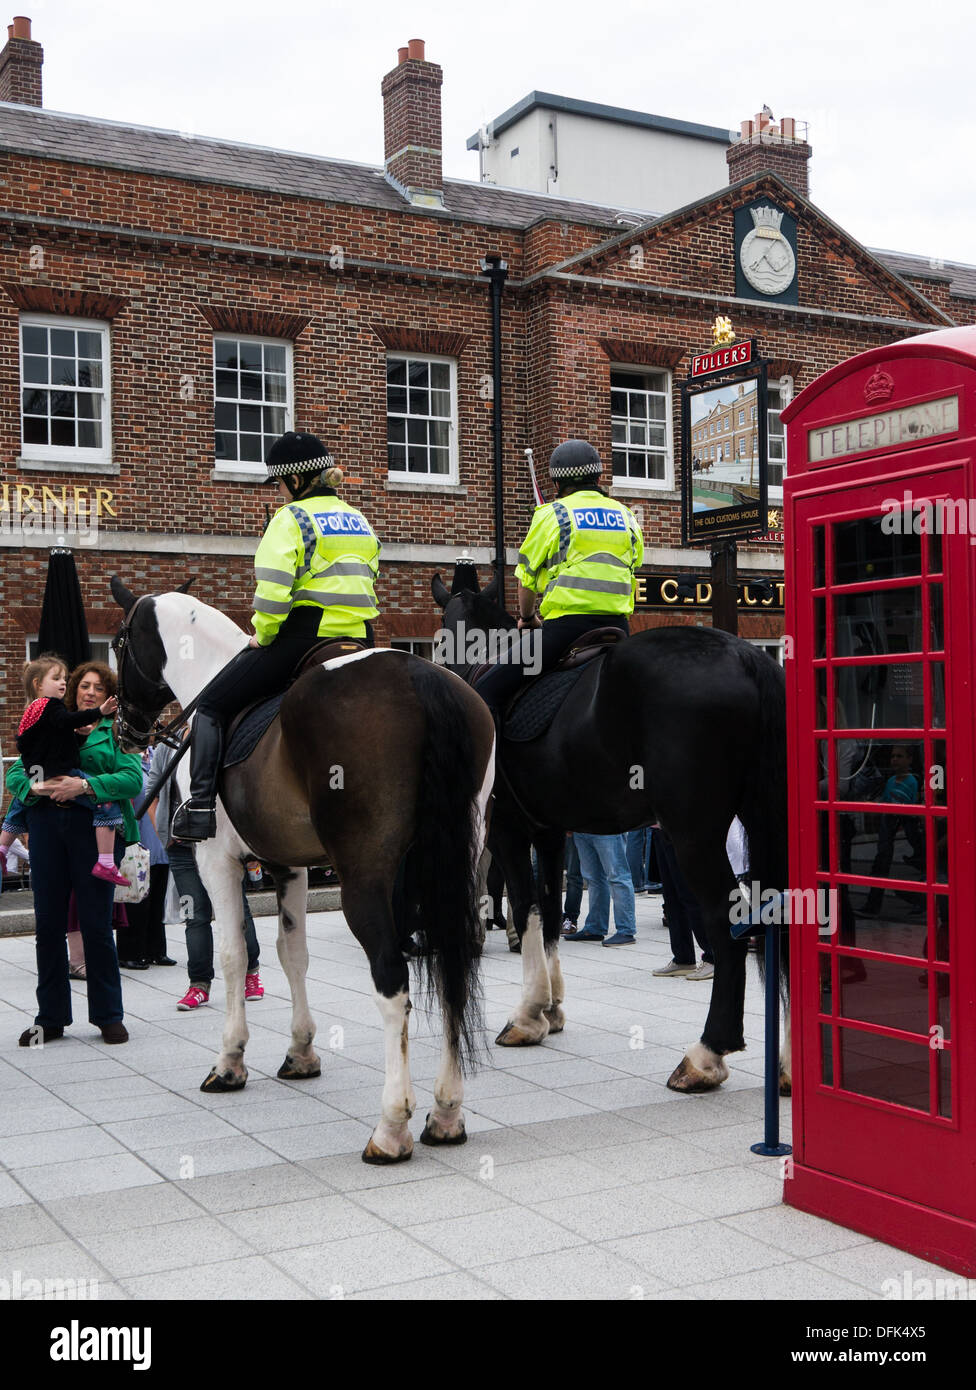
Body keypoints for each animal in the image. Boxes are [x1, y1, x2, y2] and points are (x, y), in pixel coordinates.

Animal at [430, 567, 789, 1095]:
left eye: (438, 637)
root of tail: (747, 657)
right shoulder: (550, 832)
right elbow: (551, 911)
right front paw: (553, 1009)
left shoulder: (508, 831)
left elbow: (526, 905)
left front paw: (528, 1015)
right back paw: (786, 1066)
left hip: (694, 834)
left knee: (728, 928)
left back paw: (706, 1055)